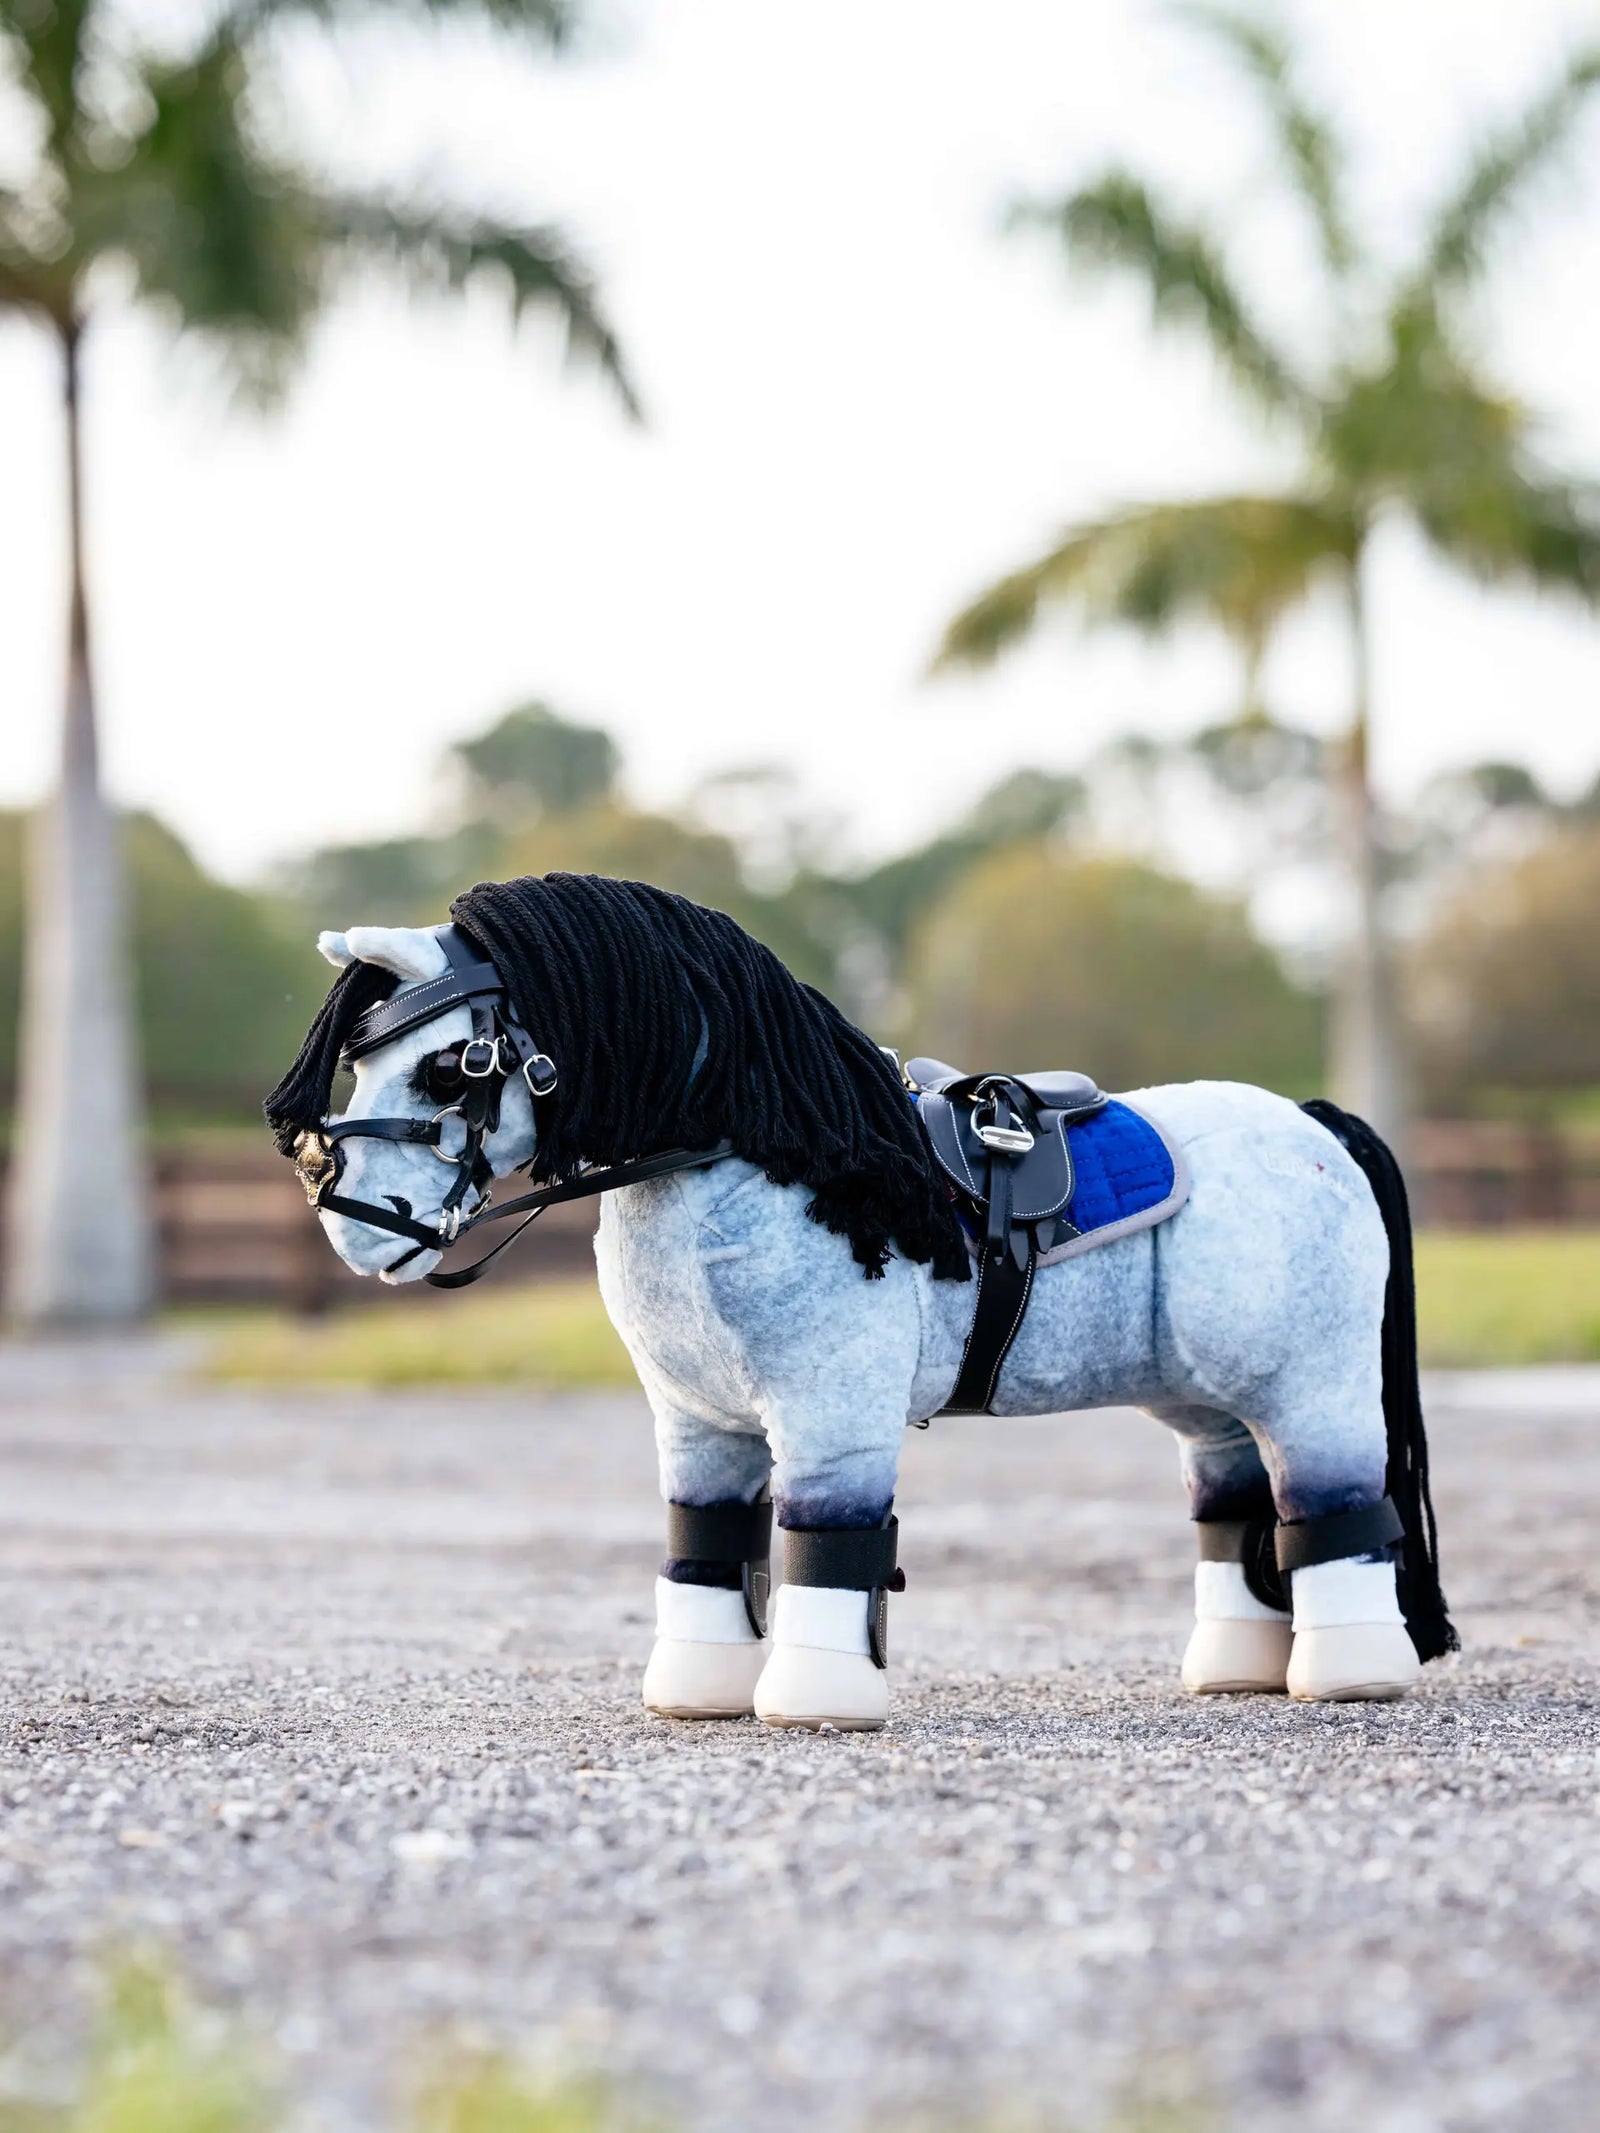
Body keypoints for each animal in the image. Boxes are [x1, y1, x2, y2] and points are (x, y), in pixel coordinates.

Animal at [265, 872, 1455, 1734]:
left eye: (449, 1067)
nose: (352, 1220)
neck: (763, 1151)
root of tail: (1312, 1123)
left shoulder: (830, 1414)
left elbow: (823, 1541)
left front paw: (814, 1703)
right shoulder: (697, 1424)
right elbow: (706, 1541)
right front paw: (699, 1692)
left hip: (1312, 1384)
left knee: (1333, 1507)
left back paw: (1348, 1673)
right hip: (1208, 1400)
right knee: (1236, 1504)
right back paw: (1237, 1672)